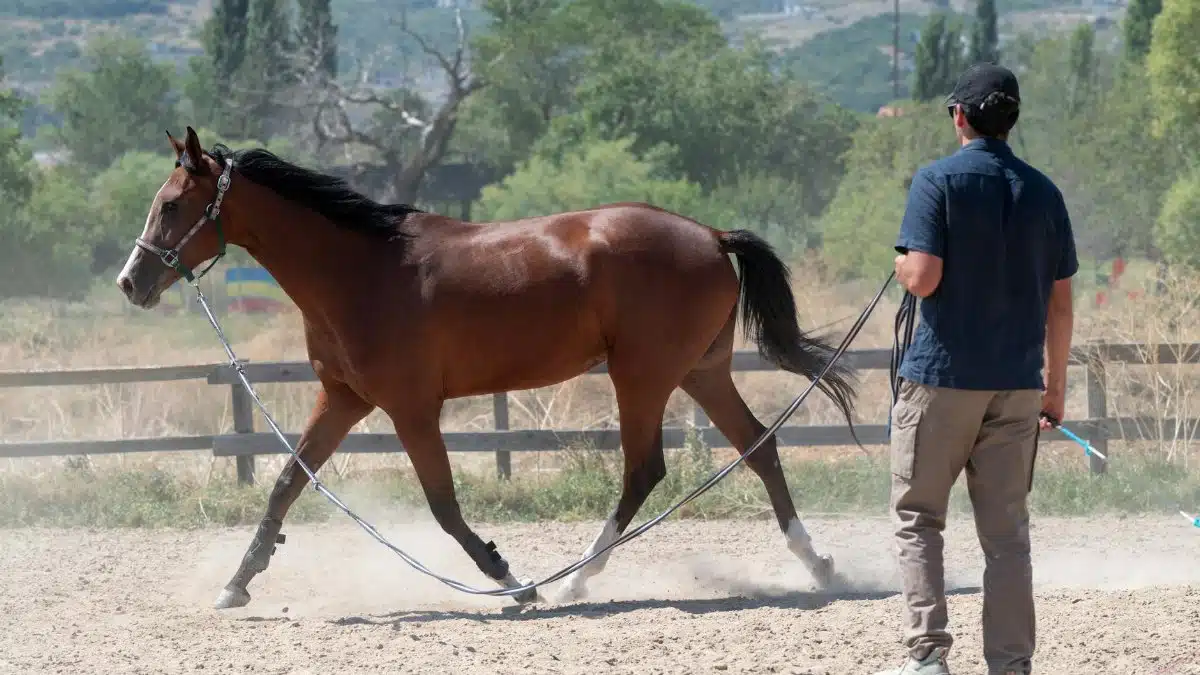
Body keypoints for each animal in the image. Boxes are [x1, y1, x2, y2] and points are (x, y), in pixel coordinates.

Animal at [116, 127, 859, 609]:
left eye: (172, 204)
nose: (131, 282)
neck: (360, 270)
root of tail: (710, 235)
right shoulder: (342, 399)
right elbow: (285, 484)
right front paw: (236, 583)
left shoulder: (412, 408)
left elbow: (444, 505)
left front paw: (511, 579)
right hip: (699, 373)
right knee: (759, 448)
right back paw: (821, 565)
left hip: (642, 377)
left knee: (644, 470)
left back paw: (574, 578)